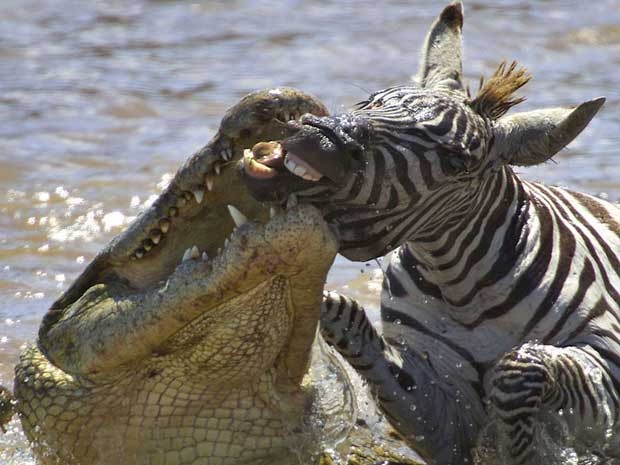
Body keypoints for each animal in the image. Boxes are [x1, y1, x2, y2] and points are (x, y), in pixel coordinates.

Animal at [241, 0, 620, 464]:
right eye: (369, 102)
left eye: (455, 162)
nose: (318, 137)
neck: (462, 288)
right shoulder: (439, 409)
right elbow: (345, 317)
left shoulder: (608, 369)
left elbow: (518, 370)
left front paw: (518, 449)